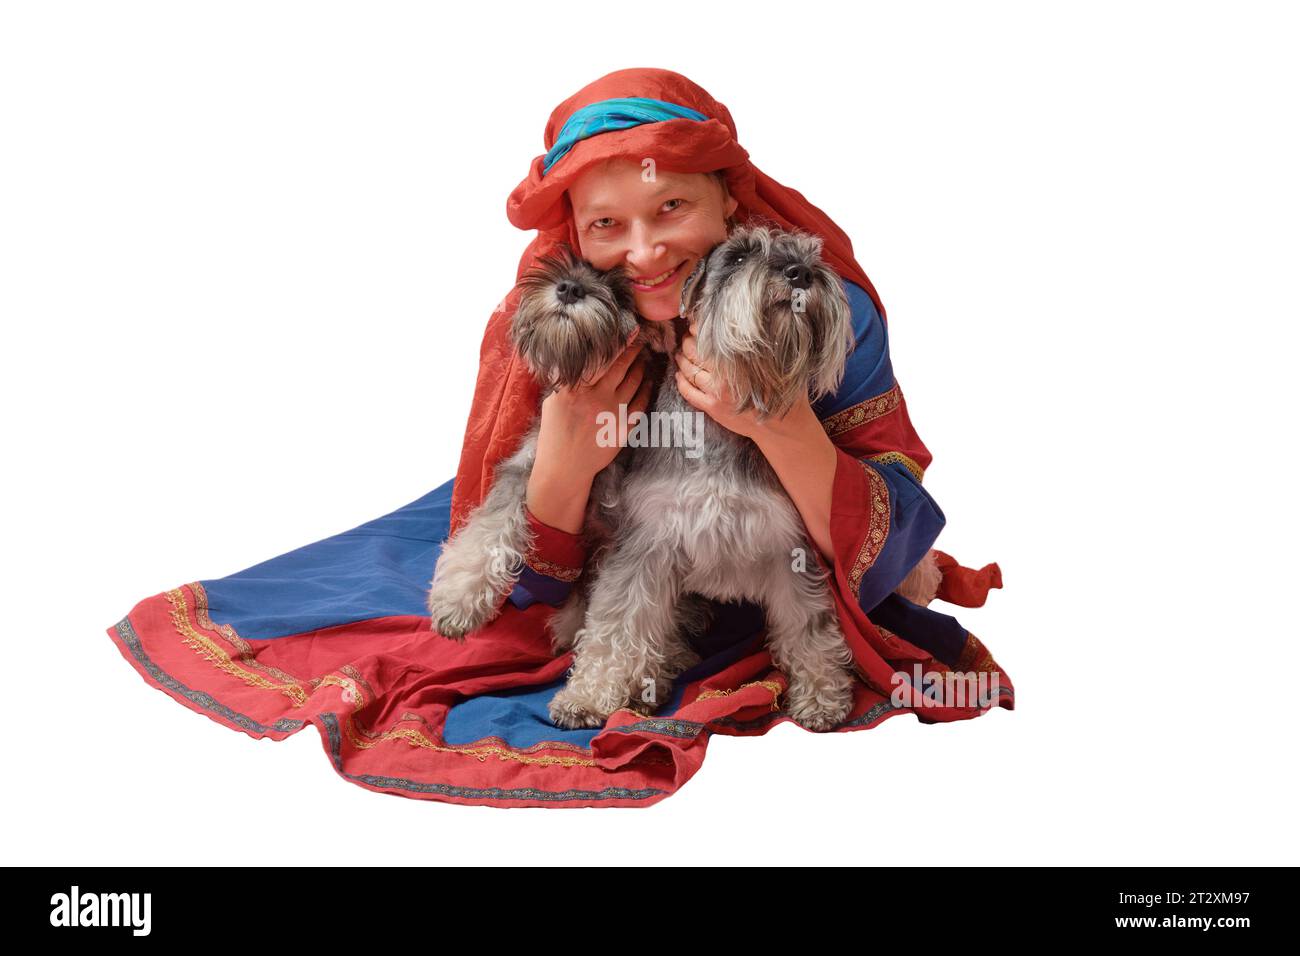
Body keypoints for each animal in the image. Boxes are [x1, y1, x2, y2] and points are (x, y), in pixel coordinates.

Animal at [543, 223, 868, 733]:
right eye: (736, 258)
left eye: (810, 255)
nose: (801, 273)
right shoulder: (645, 547)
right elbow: (614, 627)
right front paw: (586, 698)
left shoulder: (789, 548)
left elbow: (809, 626)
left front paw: (822, 697)